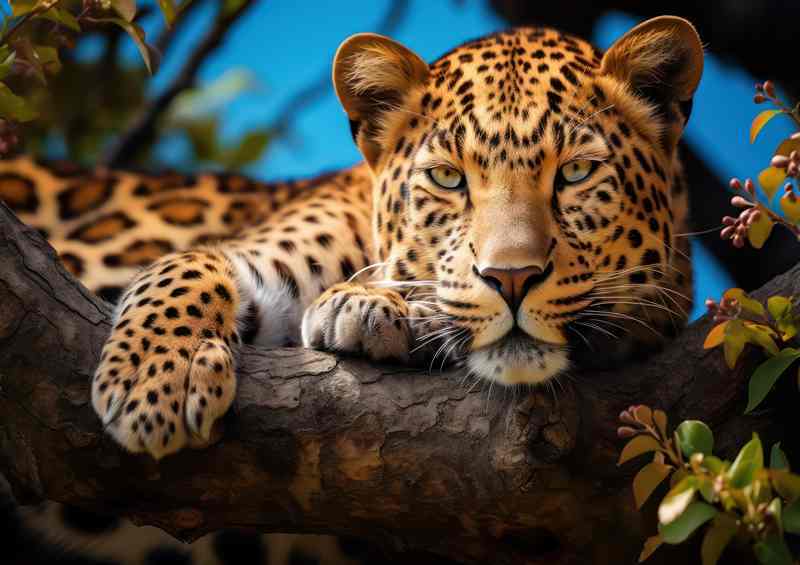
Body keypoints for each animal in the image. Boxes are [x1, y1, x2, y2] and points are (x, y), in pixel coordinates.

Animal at [1, 15, 703, 564]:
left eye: (577, 173)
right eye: (449, 179)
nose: (510, 277)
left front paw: (382, 311)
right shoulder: (257, 259)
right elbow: (189, 264)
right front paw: (155, 380)